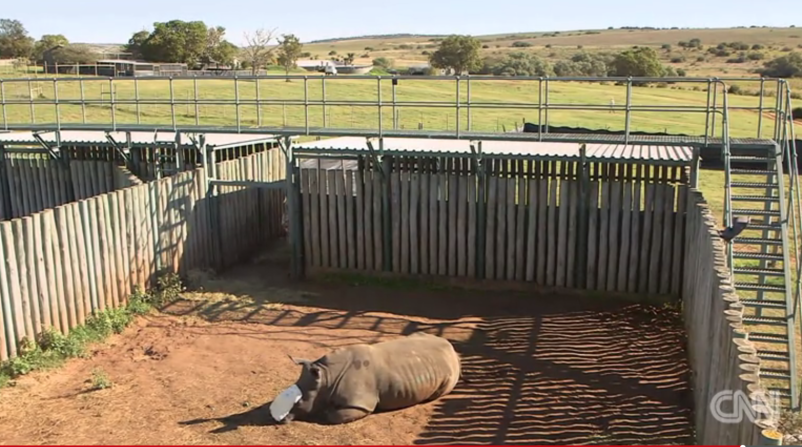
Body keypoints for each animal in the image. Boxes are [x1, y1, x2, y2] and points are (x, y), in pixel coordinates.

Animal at [268, 332, 460, 428]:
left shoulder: (360, 403)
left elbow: (333, 415)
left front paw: (326, 411)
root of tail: (450, 346)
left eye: (300, 402)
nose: (275, 419)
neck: (326, 377)